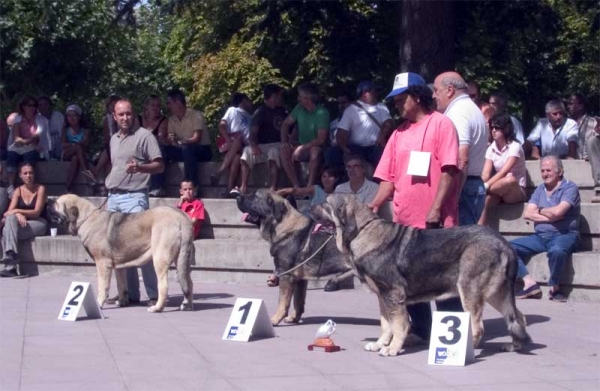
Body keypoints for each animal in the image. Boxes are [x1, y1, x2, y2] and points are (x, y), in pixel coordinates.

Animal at [49, 194, 196, 314]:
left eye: (56, 204)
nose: (48, 201)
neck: (86, 218)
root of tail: (182, 217)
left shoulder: (102, 264)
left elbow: (103, 286)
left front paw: (99, 303)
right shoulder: (118, 266)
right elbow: (121, 284)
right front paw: (122, 301)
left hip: (160, 258)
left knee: (163, 285)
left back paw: (157, 308)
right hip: (181, 259)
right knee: (188, 282)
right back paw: (187, 305)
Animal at [237, 191, 354, 326]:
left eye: (255, 196)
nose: (236, 196)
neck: (282, 225)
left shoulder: (286, 275)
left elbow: (283, 301)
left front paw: (275, 319)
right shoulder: (300, 279)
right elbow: (298, 302)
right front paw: (294, 318)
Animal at [312, 194, 532, 356]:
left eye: (325, 204)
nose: (309, 209)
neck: (361, 231)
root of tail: (504, 242)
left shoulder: (393, 295)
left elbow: (398, 325)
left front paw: (392, 349)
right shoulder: (382, 296)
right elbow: (386, 325)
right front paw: (379, 344)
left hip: (470, 289)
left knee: (478, 326)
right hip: (496, 292)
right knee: (516, 317)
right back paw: (515, 345)